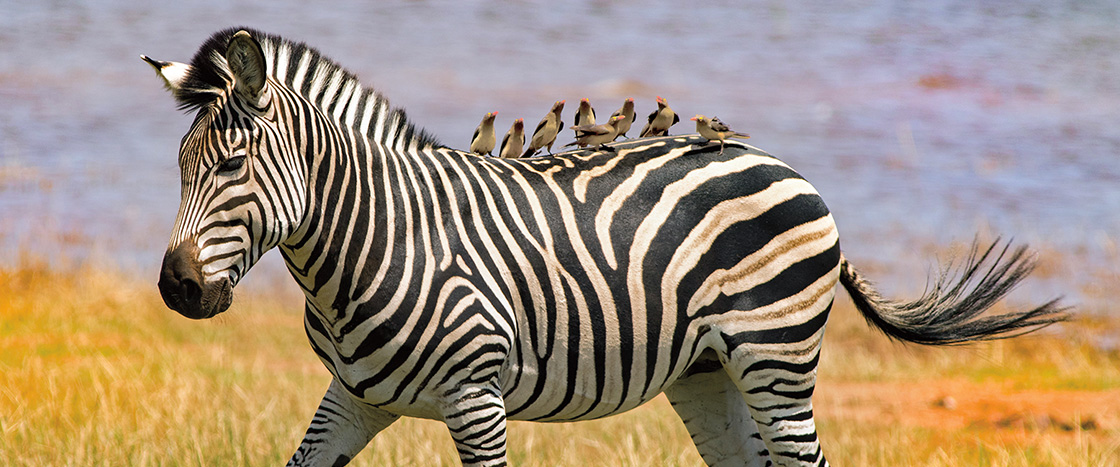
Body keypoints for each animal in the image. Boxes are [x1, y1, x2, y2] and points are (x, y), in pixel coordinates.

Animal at [148, 28, 1065, 466]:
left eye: (230, 166)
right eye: (181, 165)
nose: (178, 290)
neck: (376, 240)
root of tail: (785, 166)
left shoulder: (476, 397)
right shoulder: (355, 395)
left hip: (777, 358)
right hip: (709, 372)